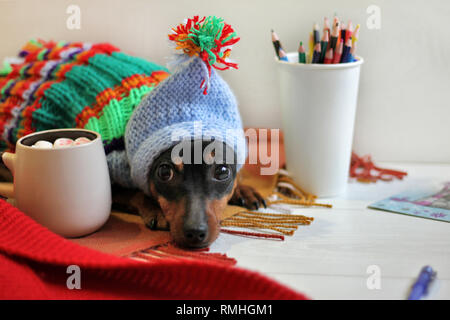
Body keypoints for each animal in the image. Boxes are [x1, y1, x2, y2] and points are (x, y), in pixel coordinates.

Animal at [112, 139, 264, 248]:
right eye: (164, 172)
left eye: (222, 171)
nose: (195, 232)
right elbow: (138, 193)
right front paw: (155, 210)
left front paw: (243, 190)